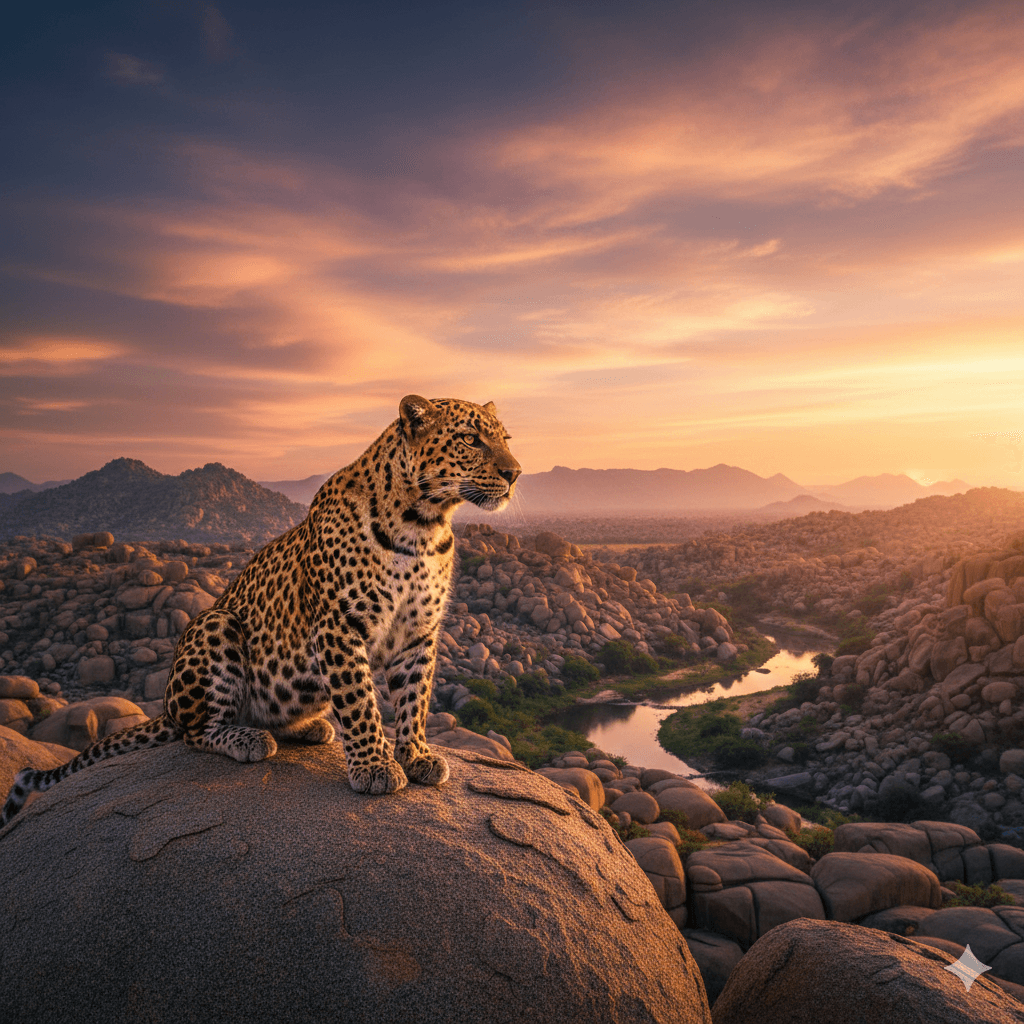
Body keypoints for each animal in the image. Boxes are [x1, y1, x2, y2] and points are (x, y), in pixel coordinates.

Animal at [1, 395, 520, 827]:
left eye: (506, 439)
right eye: (470, 439)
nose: (515, 473)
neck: (424, 526)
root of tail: (165, 708)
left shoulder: (418, 634)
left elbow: (415, 699)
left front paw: (416, 756)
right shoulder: (340, 626)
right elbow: (359, 701)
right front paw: (375, 766)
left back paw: (309, 728)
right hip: (215, 625)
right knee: (196, 731)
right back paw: (248, 739)